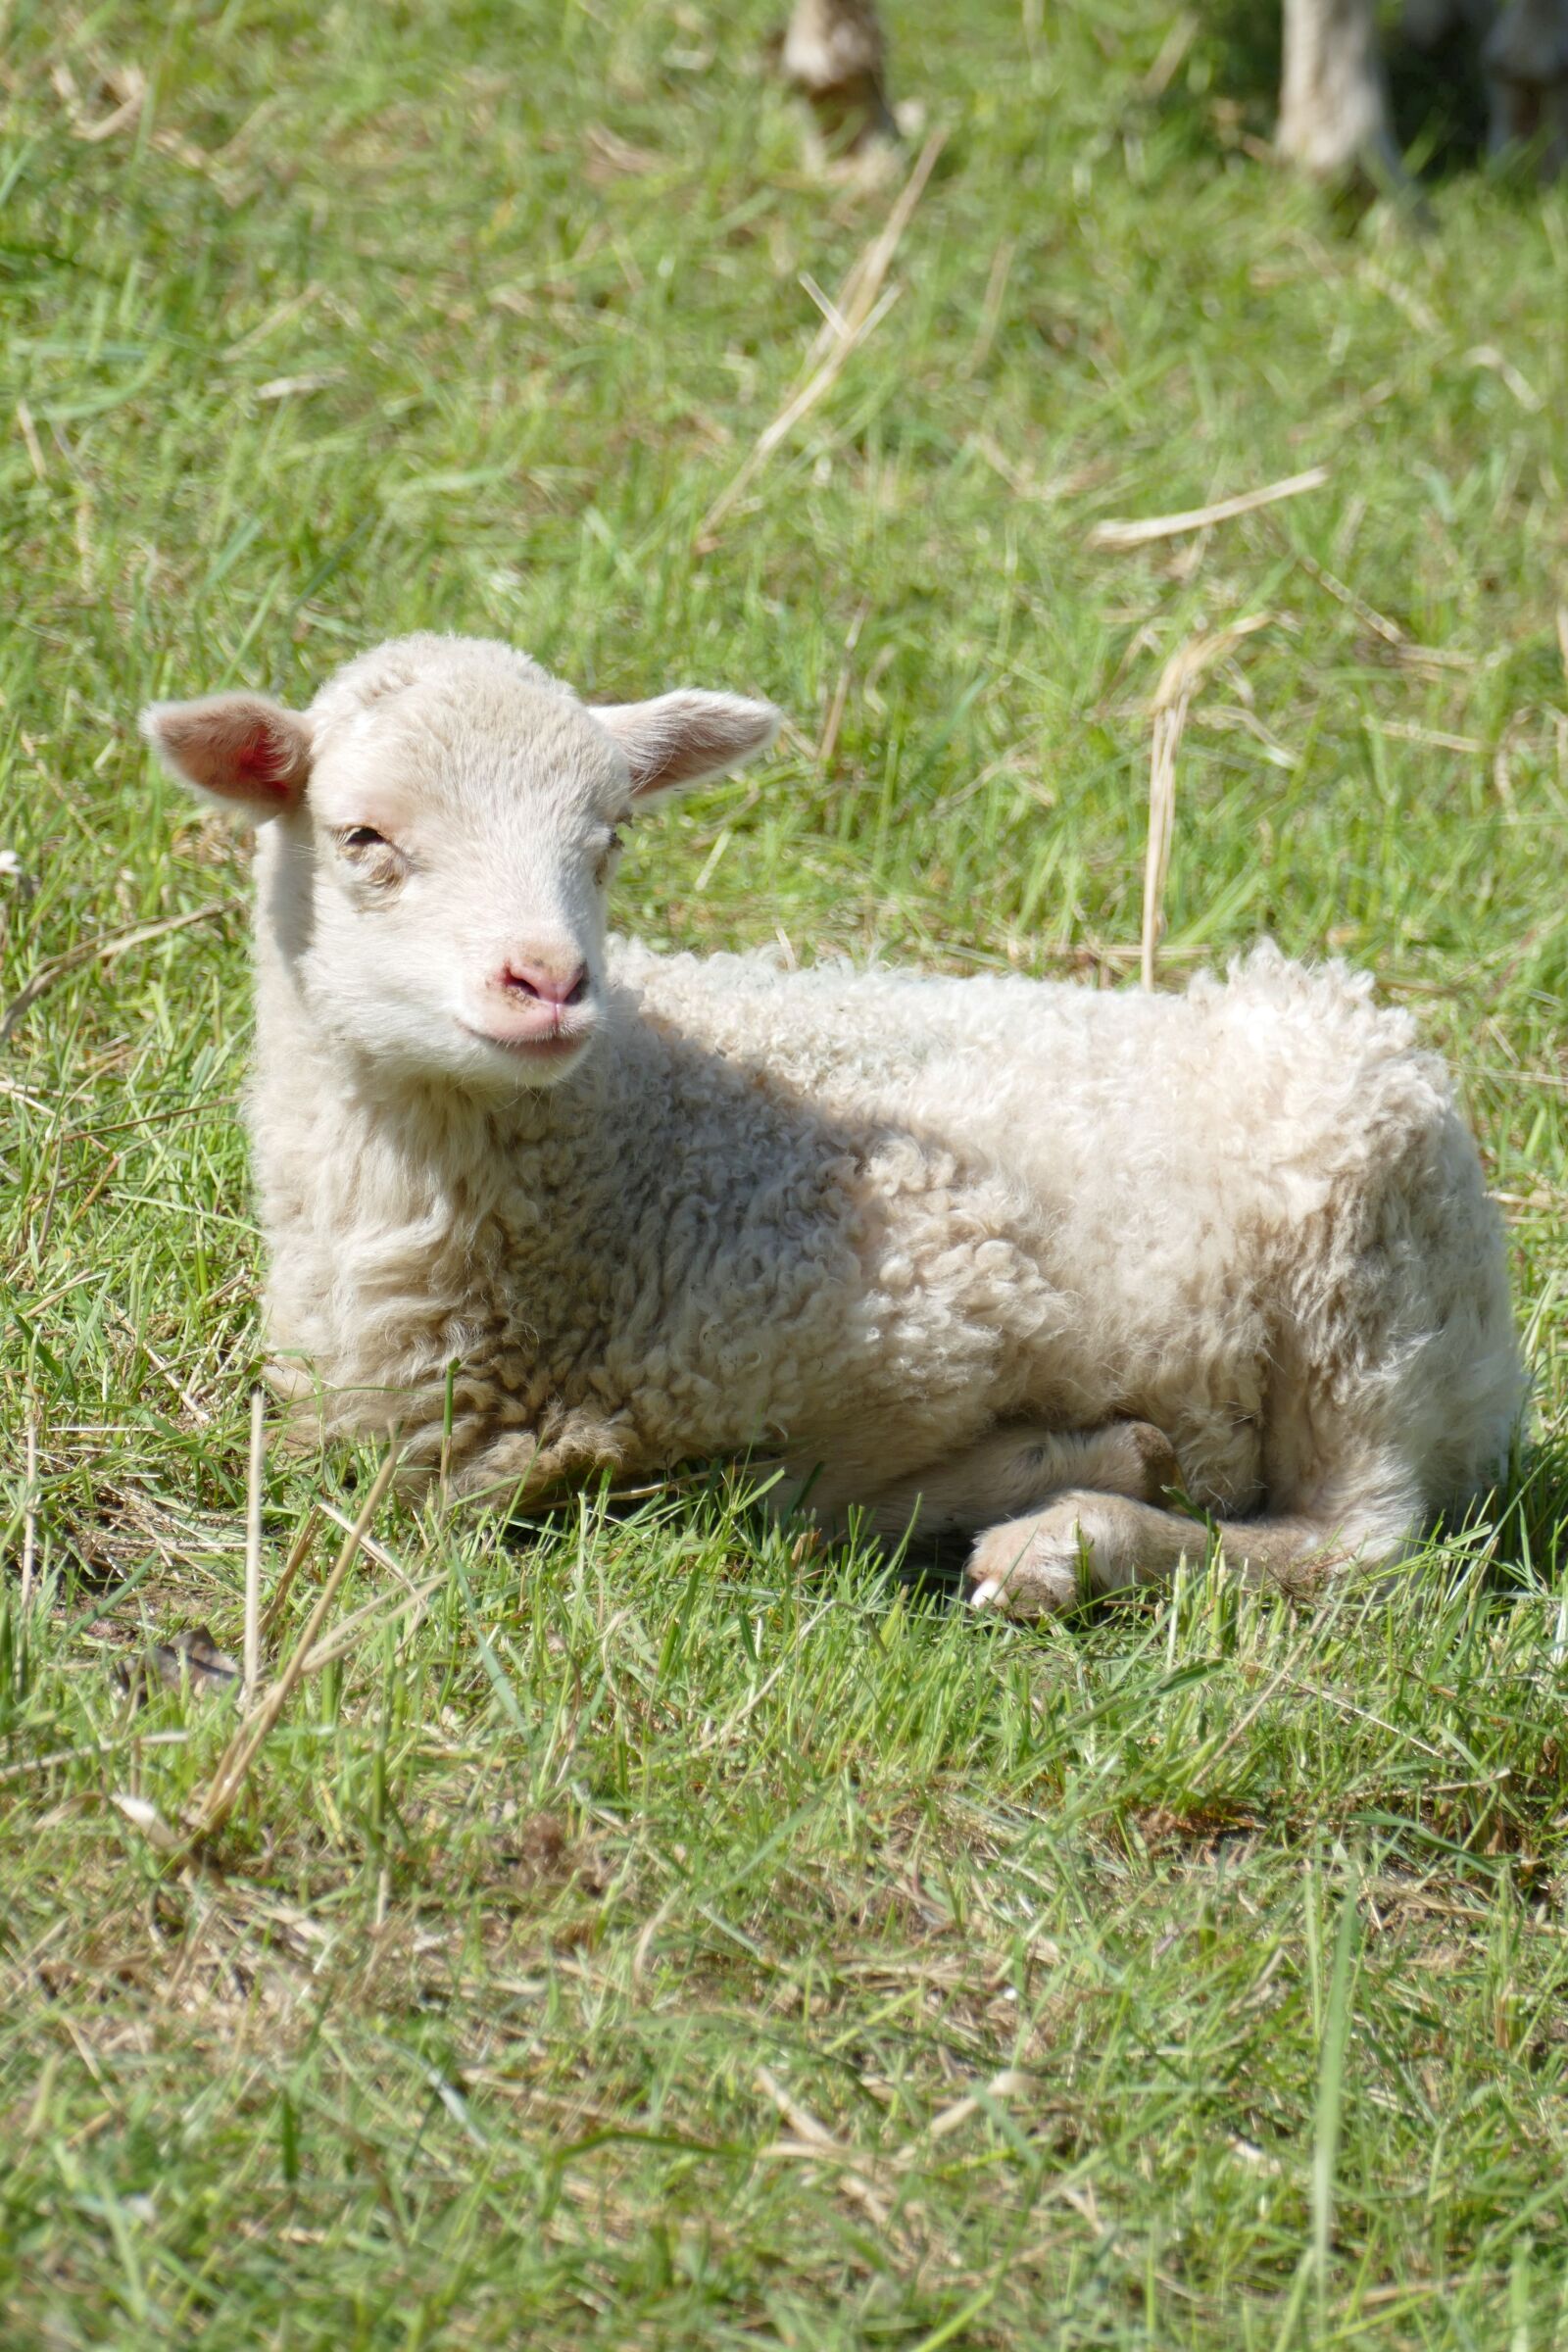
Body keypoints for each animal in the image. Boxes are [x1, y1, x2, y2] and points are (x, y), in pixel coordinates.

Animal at [143, 634, 1523, 1620]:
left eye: (609, 839)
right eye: (362, 836)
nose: (549, 981)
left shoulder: (938, 1318)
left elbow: (785, 1493)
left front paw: (1084, 1467)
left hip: (1362, 1287)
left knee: (1355, 1542)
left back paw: (1066, 1548)